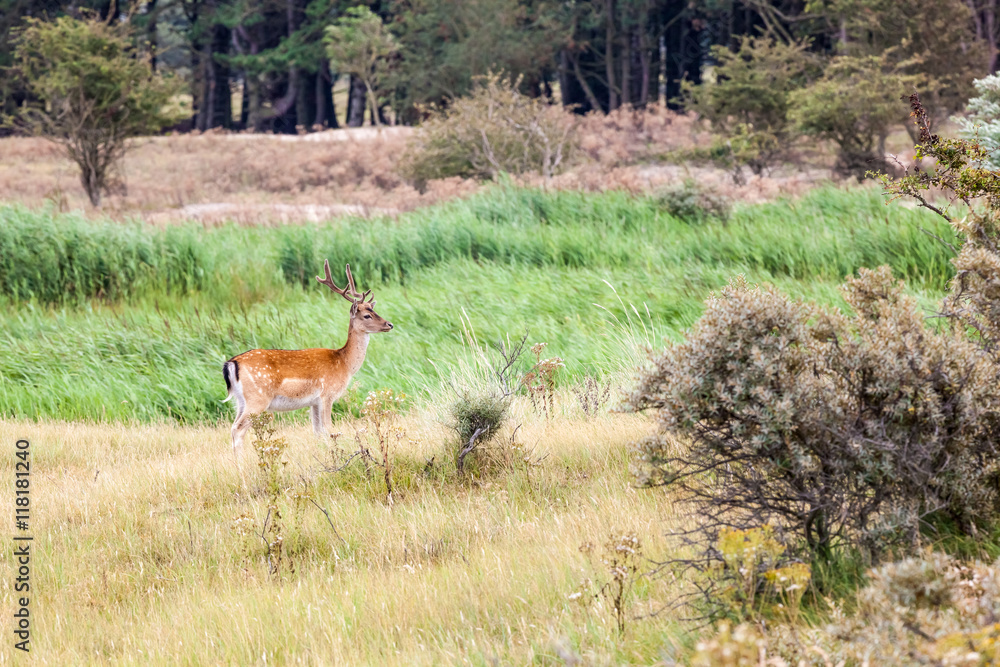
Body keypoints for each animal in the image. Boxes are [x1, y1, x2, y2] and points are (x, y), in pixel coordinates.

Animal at [222, 260, 393, 451]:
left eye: (374, 310)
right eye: (367, 315)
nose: (389, 324)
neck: (344, 363)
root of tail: (231, 363)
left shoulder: (314, 402)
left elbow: (317, 432)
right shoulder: (327, 394)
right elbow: (329, 428)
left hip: (240, 401)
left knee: (233, 427)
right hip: (258, 398)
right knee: (238, 429)